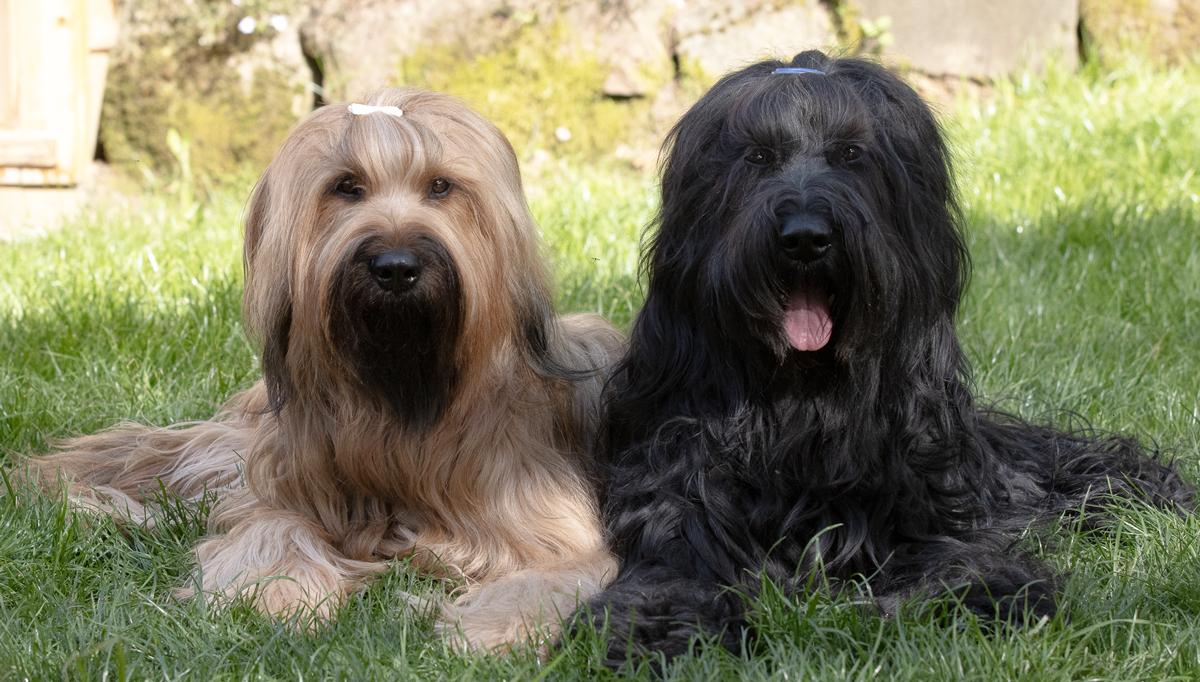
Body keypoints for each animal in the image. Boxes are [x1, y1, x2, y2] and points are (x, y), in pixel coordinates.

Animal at [23, 88, 621, 653]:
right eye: (347, 186)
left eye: (441, 187)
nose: (396, 268)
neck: (401, 389)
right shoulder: (288, 482)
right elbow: (269, 527)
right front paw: (271, 595)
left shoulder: (551, 521)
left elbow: (566, 569)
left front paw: (493, 627)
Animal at [577, 51, 1194, 665]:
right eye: (757, 156)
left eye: (852, 154)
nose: (806, 237)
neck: (804, 400)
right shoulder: (680, 492)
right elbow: (674, 565)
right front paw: (656, 627)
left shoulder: (932, 500)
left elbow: (960, 557)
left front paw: (978, 597)